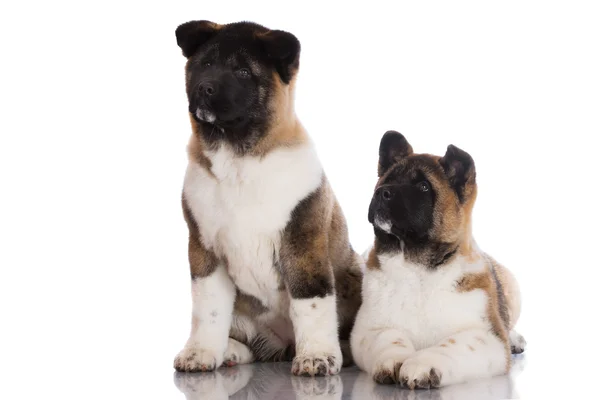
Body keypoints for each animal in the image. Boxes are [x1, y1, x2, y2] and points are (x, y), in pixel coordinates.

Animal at [171, 21, 364, 378]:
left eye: (243, 72)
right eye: (205, 64)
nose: (204, 87)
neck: (237, 158)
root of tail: (283, 346)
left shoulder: (302, 244)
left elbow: (311, 301)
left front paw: (317, 356)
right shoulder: (204, 250)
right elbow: (208, 307)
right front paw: (201, 352)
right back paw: (230, 351)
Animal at [352, 133, 524, 390]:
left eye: (423, 187)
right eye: (388, 179)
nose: (383, 192)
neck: (417, 267)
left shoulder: (486, 337)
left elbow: (452, 345)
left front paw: (423, 364)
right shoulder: (367, 330)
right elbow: (389, 337)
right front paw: (396, 359)